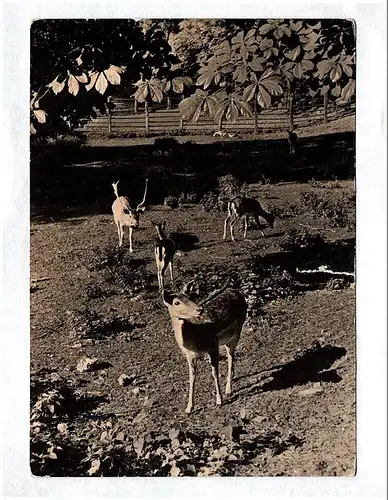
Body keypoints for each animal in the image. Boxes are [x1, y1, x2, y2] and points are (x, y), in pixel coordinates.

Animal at [162, 282, 247, 414]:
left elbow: (214, 373)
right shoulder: (189, 355)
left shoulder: (213, 346)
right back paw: (233, 379)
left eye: (190, 297)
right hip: (227, 339)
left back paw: (228, 389)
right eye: (176, 302)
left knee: (231, 355)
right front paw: (189, 408)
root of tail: (237, 292)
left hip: (238, 329)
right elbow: (192, 377)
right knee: (231, 354)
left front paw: (219, 401)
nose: (199, 309)